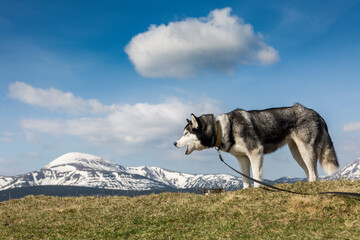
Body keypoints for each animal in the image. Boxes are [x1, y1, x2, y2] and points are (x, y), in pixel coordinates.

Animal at [174, 104, 338, 188]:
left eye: (186, 133)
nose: (174, 143)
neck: (222, 128)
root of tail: (317, 114)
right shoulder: (242, 159)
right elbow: (246, 180)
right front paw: (246, 192)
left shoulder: (256, 153)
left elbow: (256, 176)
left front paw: (258, 190)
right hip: (297, 153)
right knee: (311, 173)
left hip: (305, 151)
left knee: (314, 174)